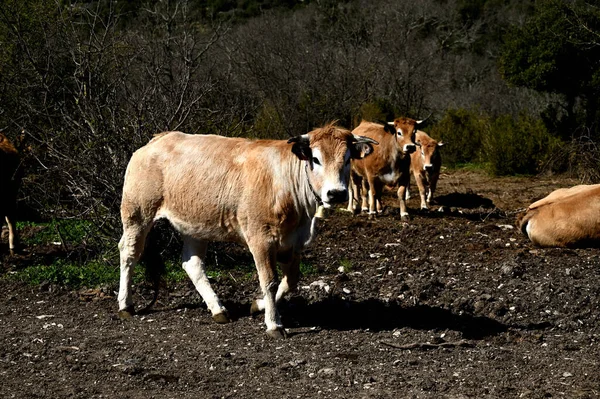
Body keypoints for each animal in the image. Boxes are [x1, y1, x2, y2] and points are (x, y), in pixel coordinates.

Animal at [118, 122, 378, 338]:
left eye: (347, 159)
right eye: (315, 159)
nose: (336, 193)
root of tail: (159, 139)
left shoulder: (293, 242)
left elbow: (291, 281)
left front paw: (258, 304)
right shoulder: (261, 239)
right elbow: (269, 280)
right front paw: (274, 324)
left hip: (195, 224)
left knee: (192, 263)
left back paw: (218, 309)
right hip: (137, 213)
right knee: (129, 254)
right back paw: (125, 305)